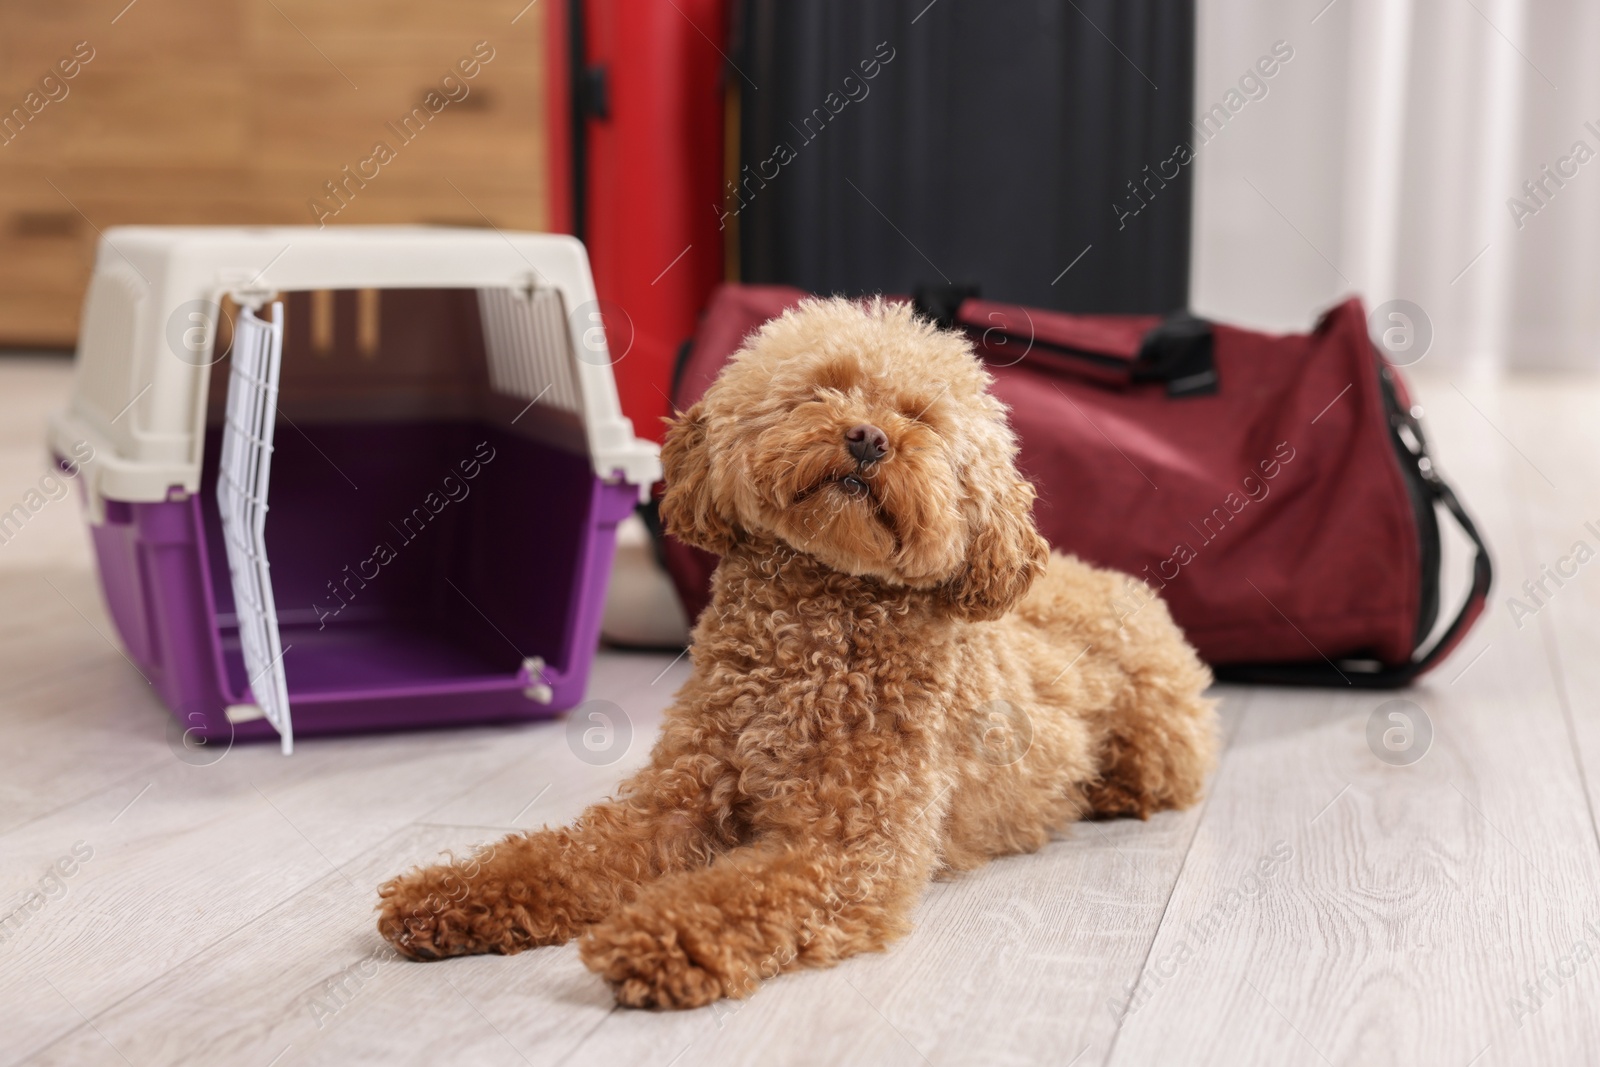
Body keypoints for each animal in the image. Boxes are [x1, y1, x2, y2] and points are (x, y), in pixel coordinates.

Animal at [377, 294, 1209, 1011]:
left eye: (920, 418)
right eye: (824, 389)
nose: (869, 437)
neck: (814, 629)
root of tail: (1099, 573)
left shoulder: (851, 845)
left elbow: (744, 892)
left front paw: (658, 939)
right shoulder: (675, 801)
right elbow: (568, 853)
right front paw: (451, 894)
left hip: (1159, 736)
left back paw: (1109, 793)